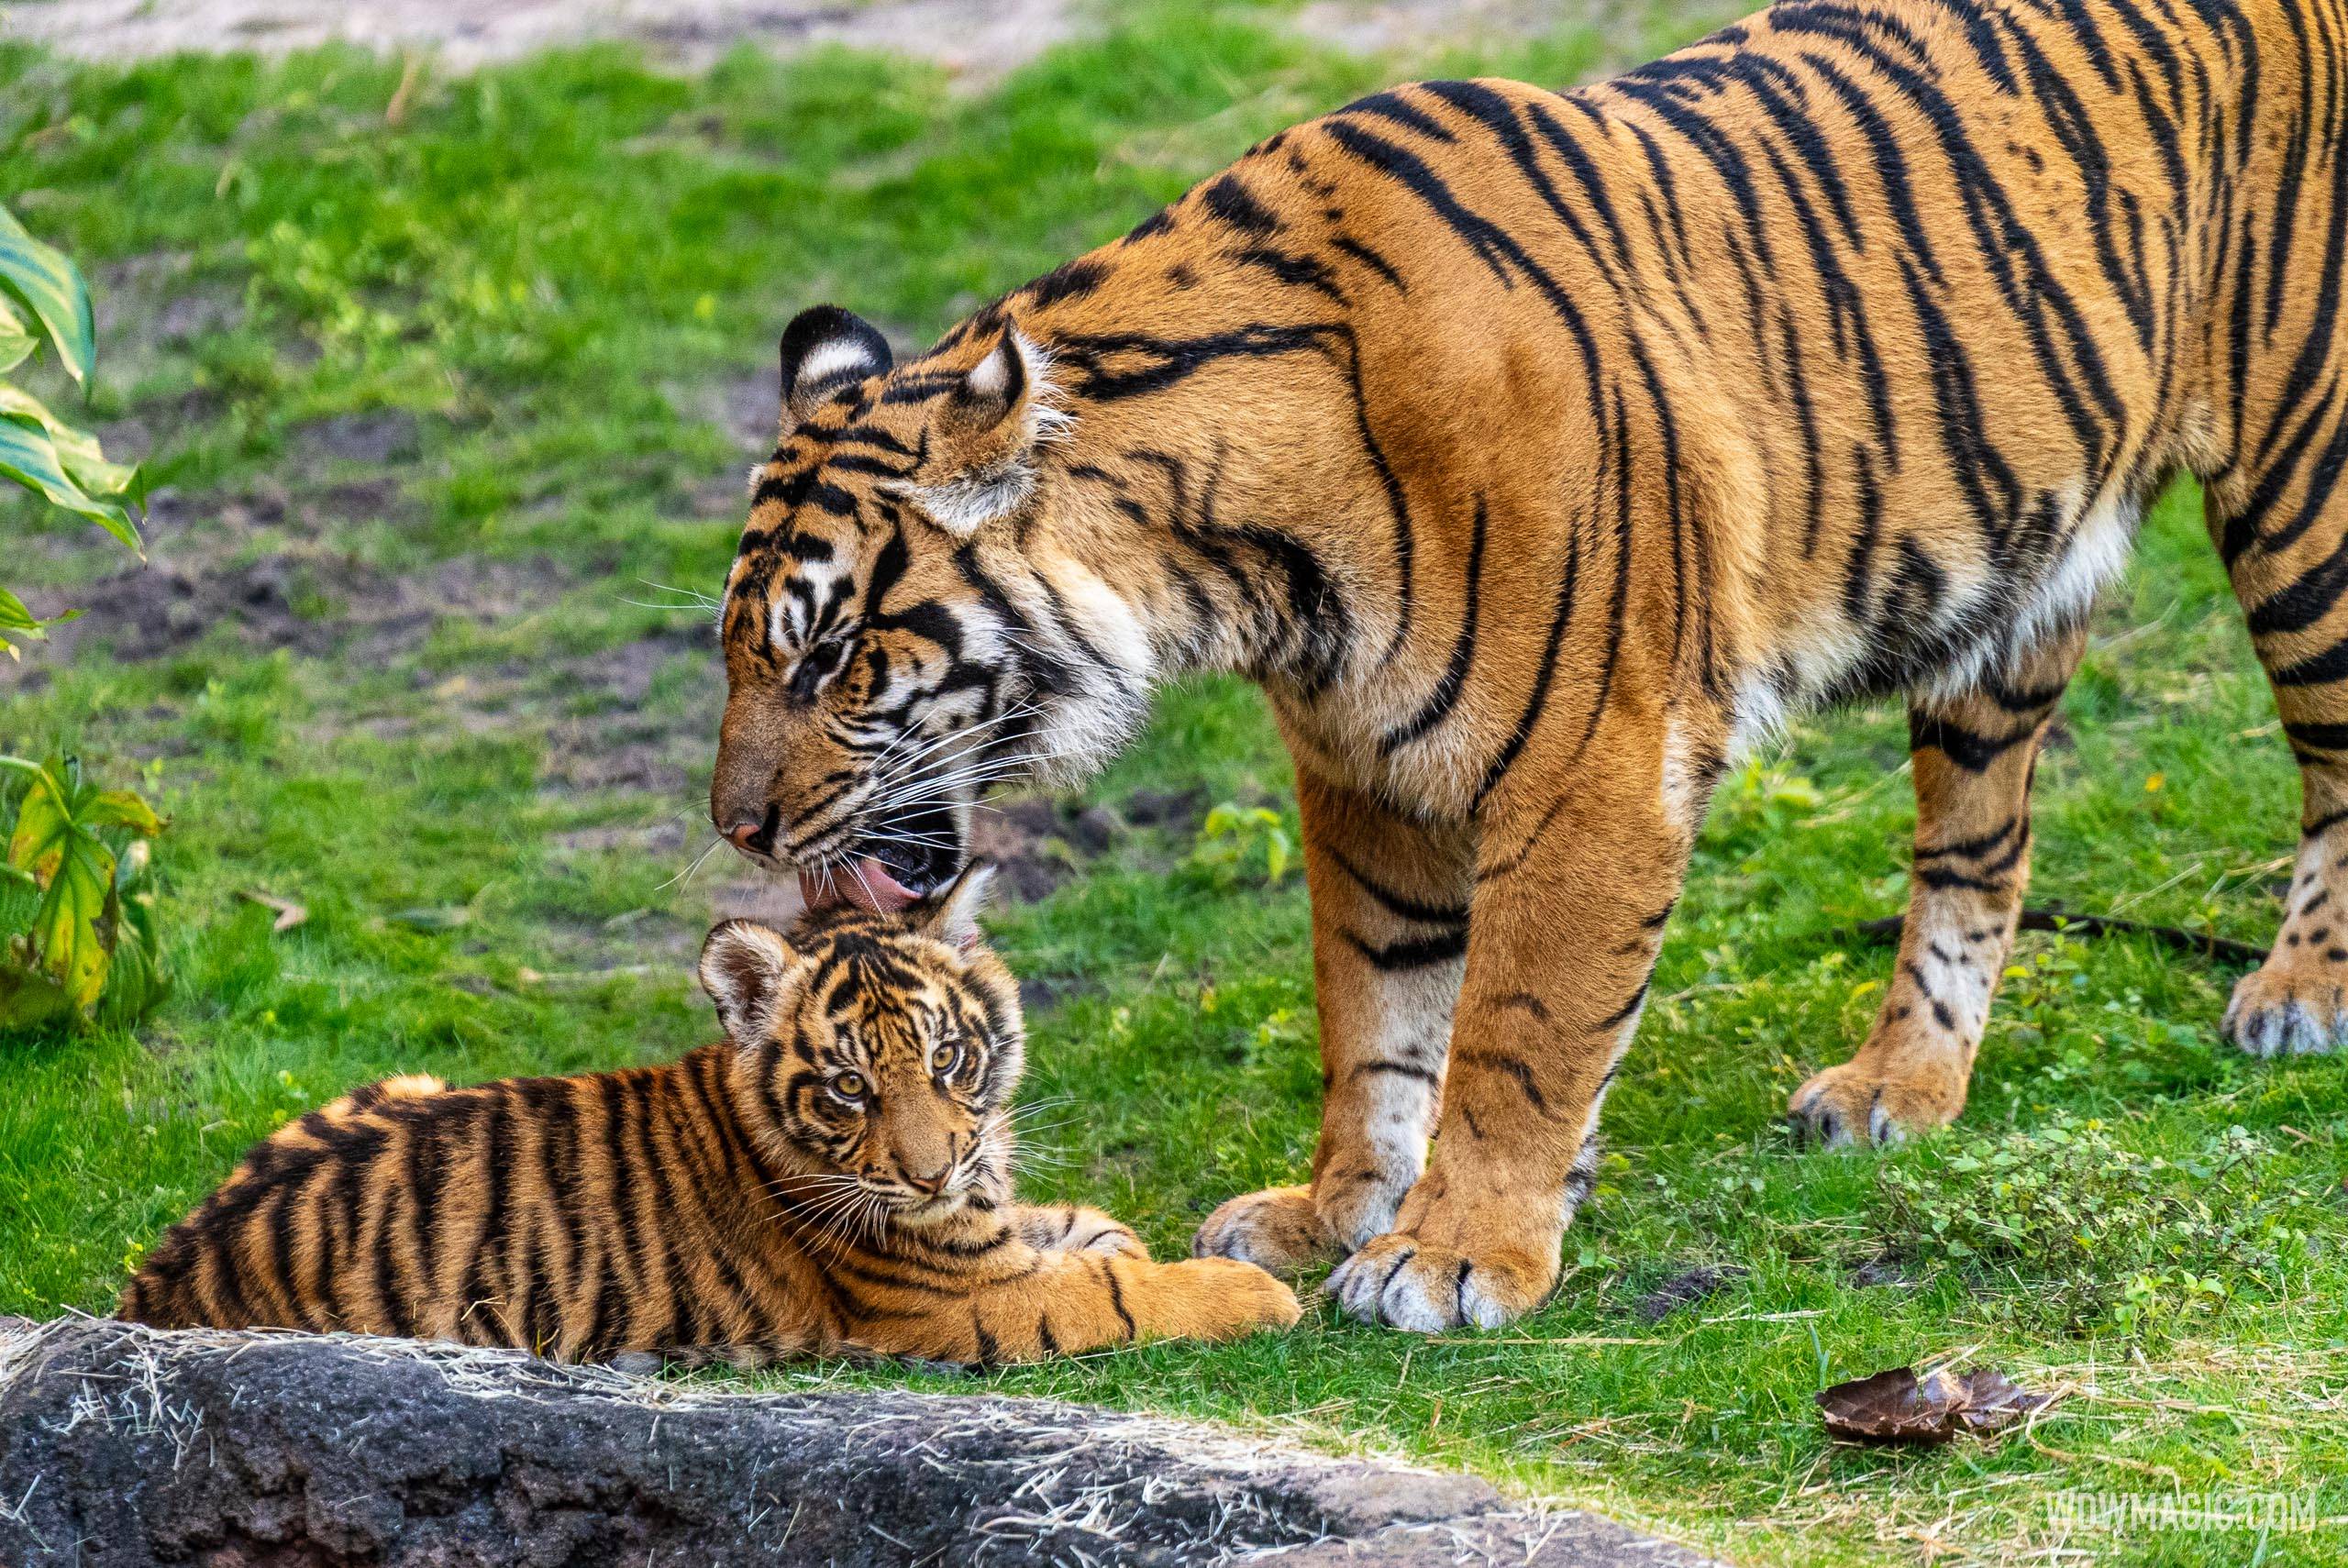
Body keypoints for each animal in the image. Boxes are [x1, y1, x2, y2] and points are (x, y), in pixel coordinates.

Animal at [709, 0, 2348, 1333]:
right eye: (743, 652)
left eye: (834, 654)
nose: (739, 826)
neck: (1243, 565)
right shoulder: (1365, 770)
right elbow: (1378, 1016)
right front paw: (1341, 1210)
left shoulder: (1592, 770)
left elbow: (1516, 1032)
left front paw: (1452, 1254)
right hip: (2008, 592)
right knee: (1981, 850)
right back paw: (1899, 1088)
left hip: (2303, 492)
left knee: (2333, 767)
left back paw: (2299, 997)